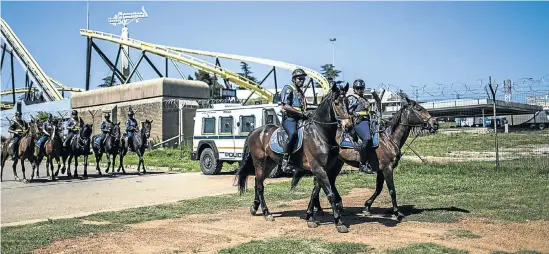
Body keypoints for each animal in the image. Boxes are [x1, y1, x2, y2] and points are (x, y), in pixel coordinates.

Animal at [233, 82, 354, 233]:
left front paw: (310, 217)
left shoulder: (322, 169)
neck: (320, 134)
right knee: (260, 186)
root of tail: (255, 131)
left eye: (348, 102)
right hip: (259, 163)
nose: (348, 126)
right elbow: (329, 194)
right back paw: (267, 213)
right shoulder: (318, 168)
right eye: (336, 103)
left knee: (257, 182)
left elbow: (315, 193)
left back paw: (254, 207)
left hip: (270, 164)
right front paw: (339, 222)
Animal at [292, 97, 436, 222]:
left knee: (327, 182)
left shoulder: (380, 171)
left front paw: (367, 206)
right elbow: (392, 191)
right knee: (322, 182)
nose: (434, 123)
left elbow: (378, 189)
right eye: (419, 109)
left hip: (336, 163)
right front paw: (397, 213)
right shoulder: (387, 169)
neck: (388, 139)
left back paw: (329, 206)